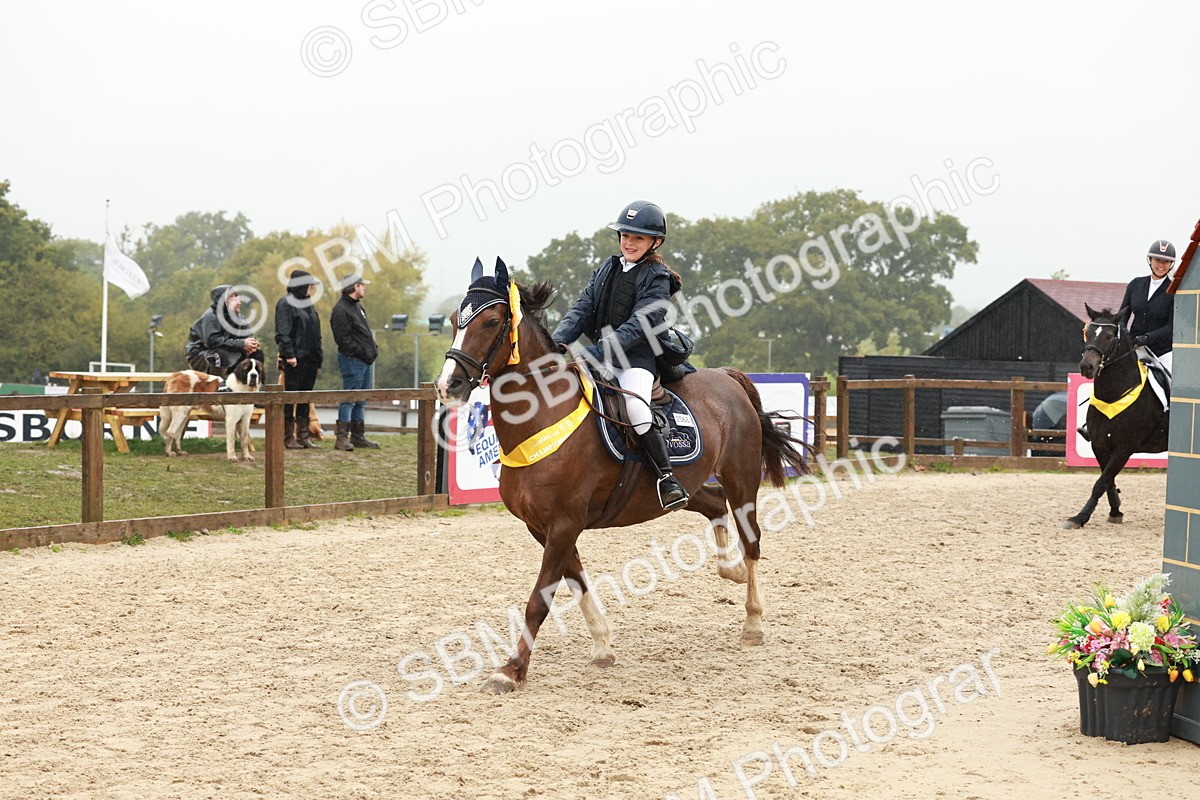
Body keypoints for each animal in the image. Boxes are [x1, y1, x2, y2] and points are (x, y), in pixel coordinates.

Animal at [436, 258, 813, 695]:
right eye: (454, 320)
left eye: (492, 321)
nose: (448, 385)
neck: (543, 414)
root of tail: (726, 376)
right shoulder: (544, 527)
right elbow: (576, 581)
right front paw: (602, 645)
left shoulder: (564, 523)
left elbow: (539, 600)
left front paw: (510, 671)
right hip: (684, 490)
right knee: (713, 505)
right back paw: (729, 569)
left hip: (743, 480)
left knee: (751, 541)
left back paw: (753, 620)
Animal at [1064, 304, 1169, 530]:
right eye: (1087, 332)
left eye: (1110, 336)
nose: (1087, 367)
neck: (1114, 395)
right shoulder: (1099, 444)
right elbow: (1108, 480)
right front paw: (1116, 510)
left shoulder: (1124, 448)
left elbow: (1101, 482)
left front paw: (1079, 517)